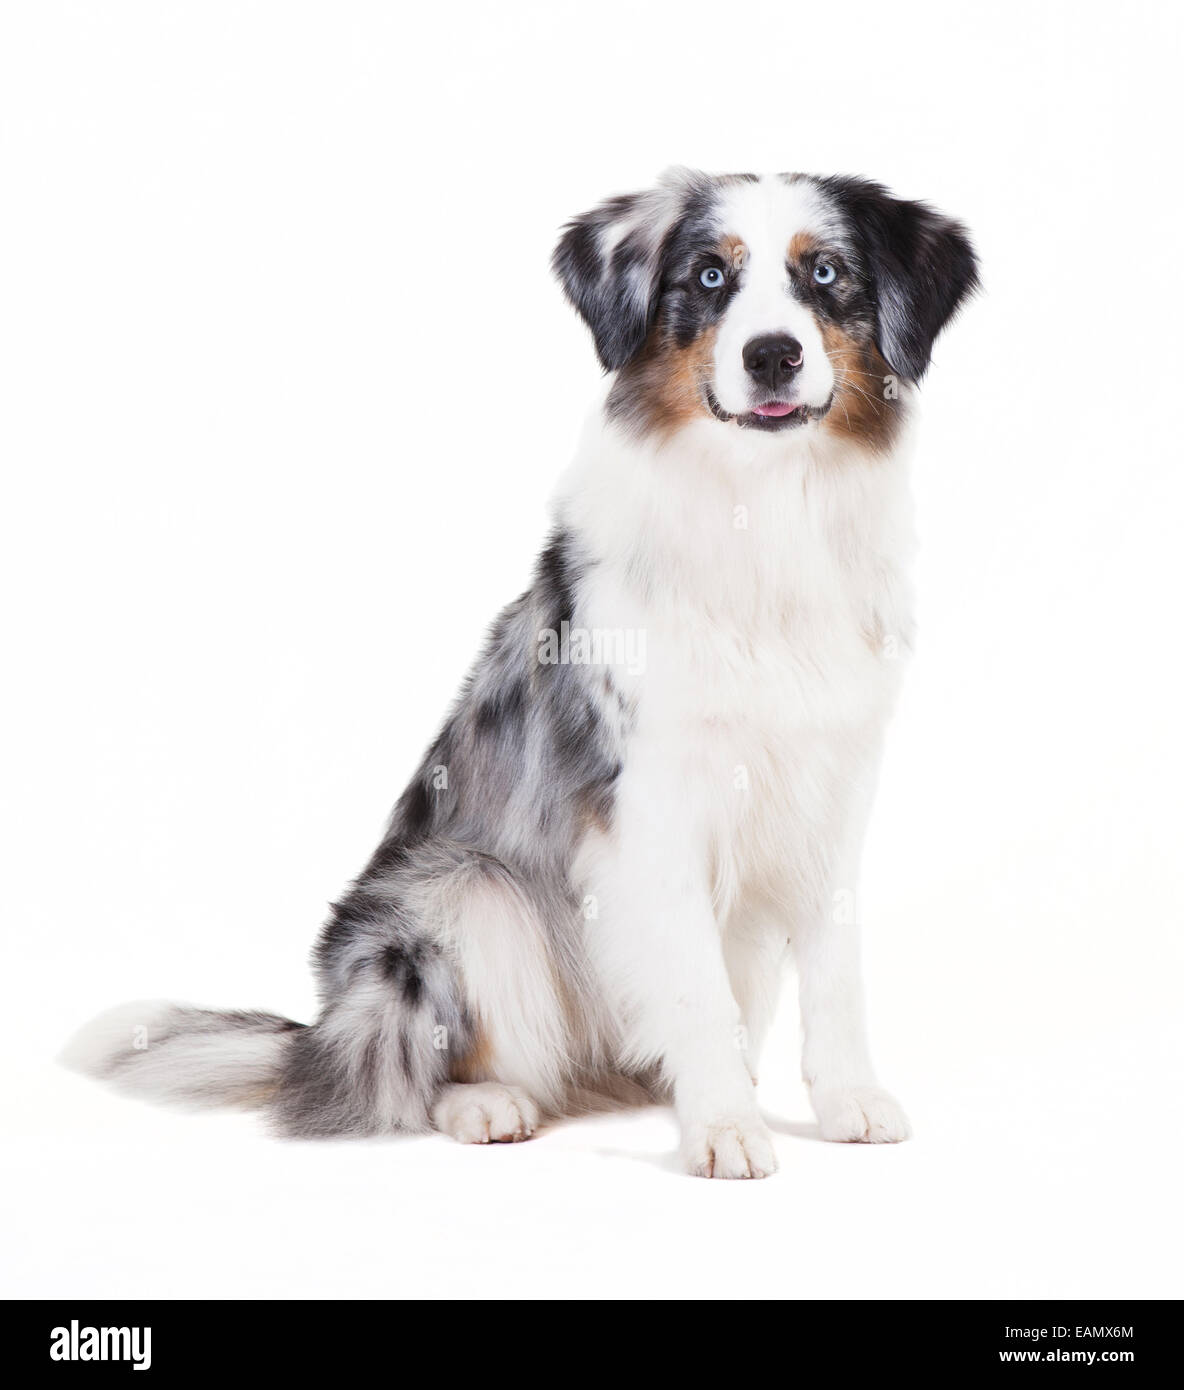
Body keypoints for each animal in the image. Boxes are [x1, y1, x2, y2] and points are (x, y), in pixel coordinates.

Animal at [69, 168, 983, 1178]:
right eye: (709, 277)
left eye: (824, 273)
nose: (773, 356)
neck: (764, 507)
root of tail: (319, 1033)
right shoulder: (650, 803)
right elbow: (695, 989)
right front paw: (724, 1127)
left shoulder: (834, 785)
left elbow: (837, 970)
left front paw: (847, 1100)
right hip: (461, 891)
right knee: (405, 1073)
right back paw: (487, 1104)